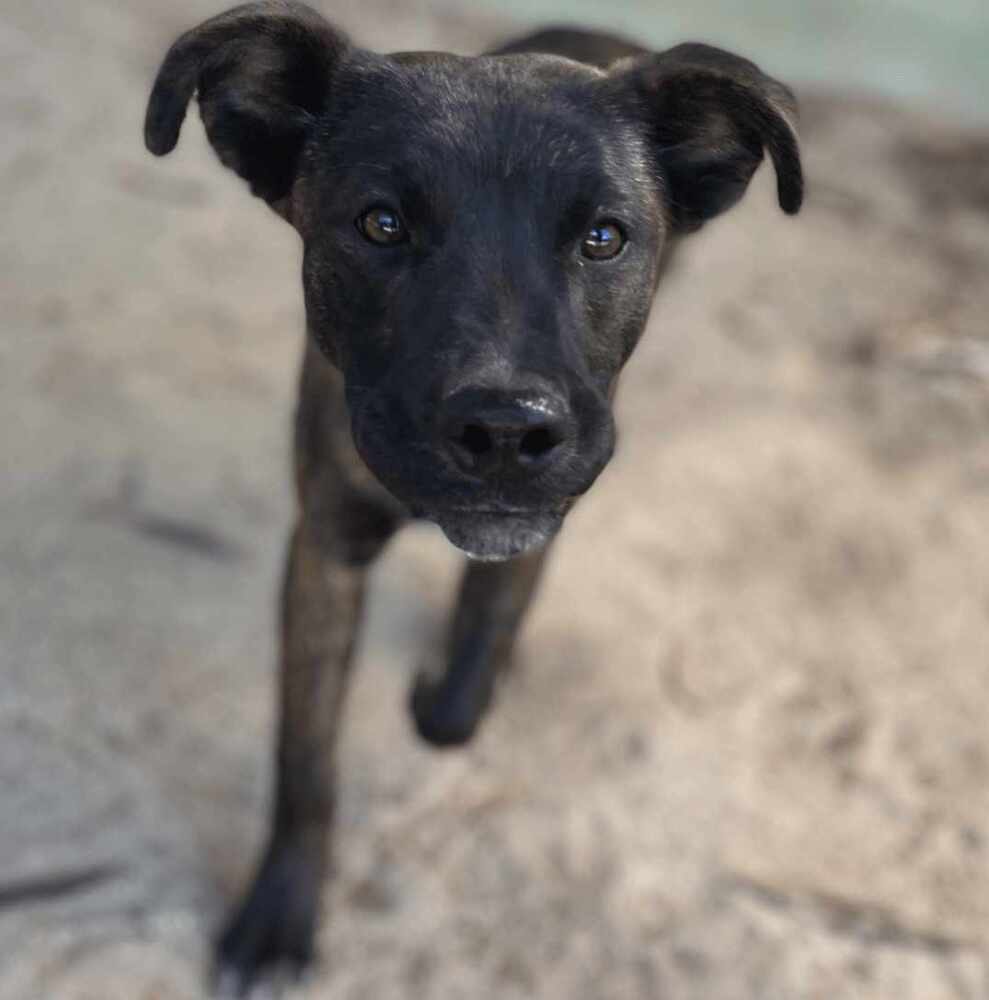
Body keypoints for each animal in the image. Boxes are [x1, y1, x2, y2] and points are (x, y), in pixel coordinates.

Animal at [145, 3, 804, 992]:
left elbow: (466, 680)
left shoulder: (543, 518)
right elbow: (306, 756)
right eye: (380, 224)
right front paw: (278, 917)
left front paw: (448, 686)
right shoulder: (326, 546)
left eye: (604, 237)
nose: (502, 432)